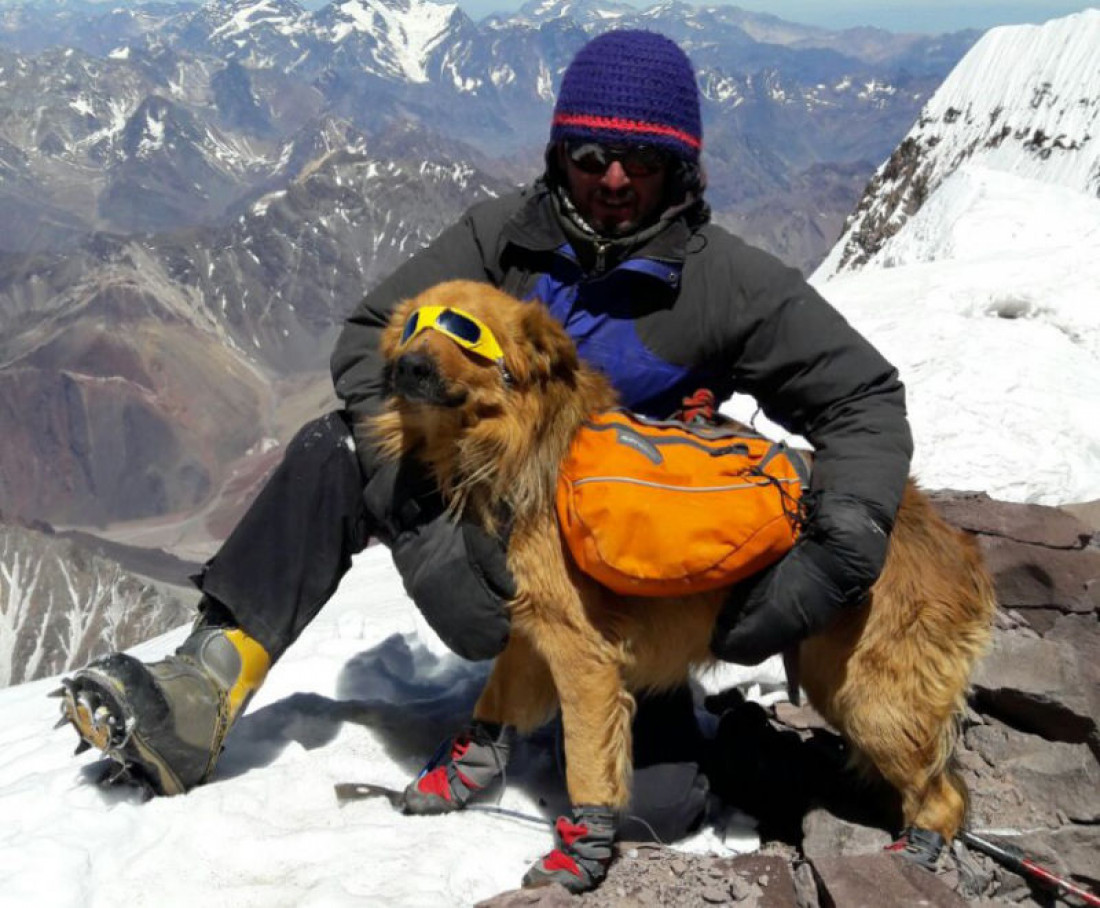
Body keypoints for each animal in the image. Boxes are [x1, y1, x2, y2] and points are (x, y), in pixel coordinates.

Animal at [369, 279, 998, 889]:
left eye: (467, 332)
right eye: (411, 326)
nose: (406, 367)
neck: (519, 447)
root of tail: (960, 548)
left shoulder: (584, 654)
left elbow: (587, 759)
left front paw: (579, 854)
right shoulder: (531, 632)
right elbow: (493, 704)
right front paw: (453, 777)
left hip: (870, 696)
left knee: (943, 795)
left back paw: (914, 853)